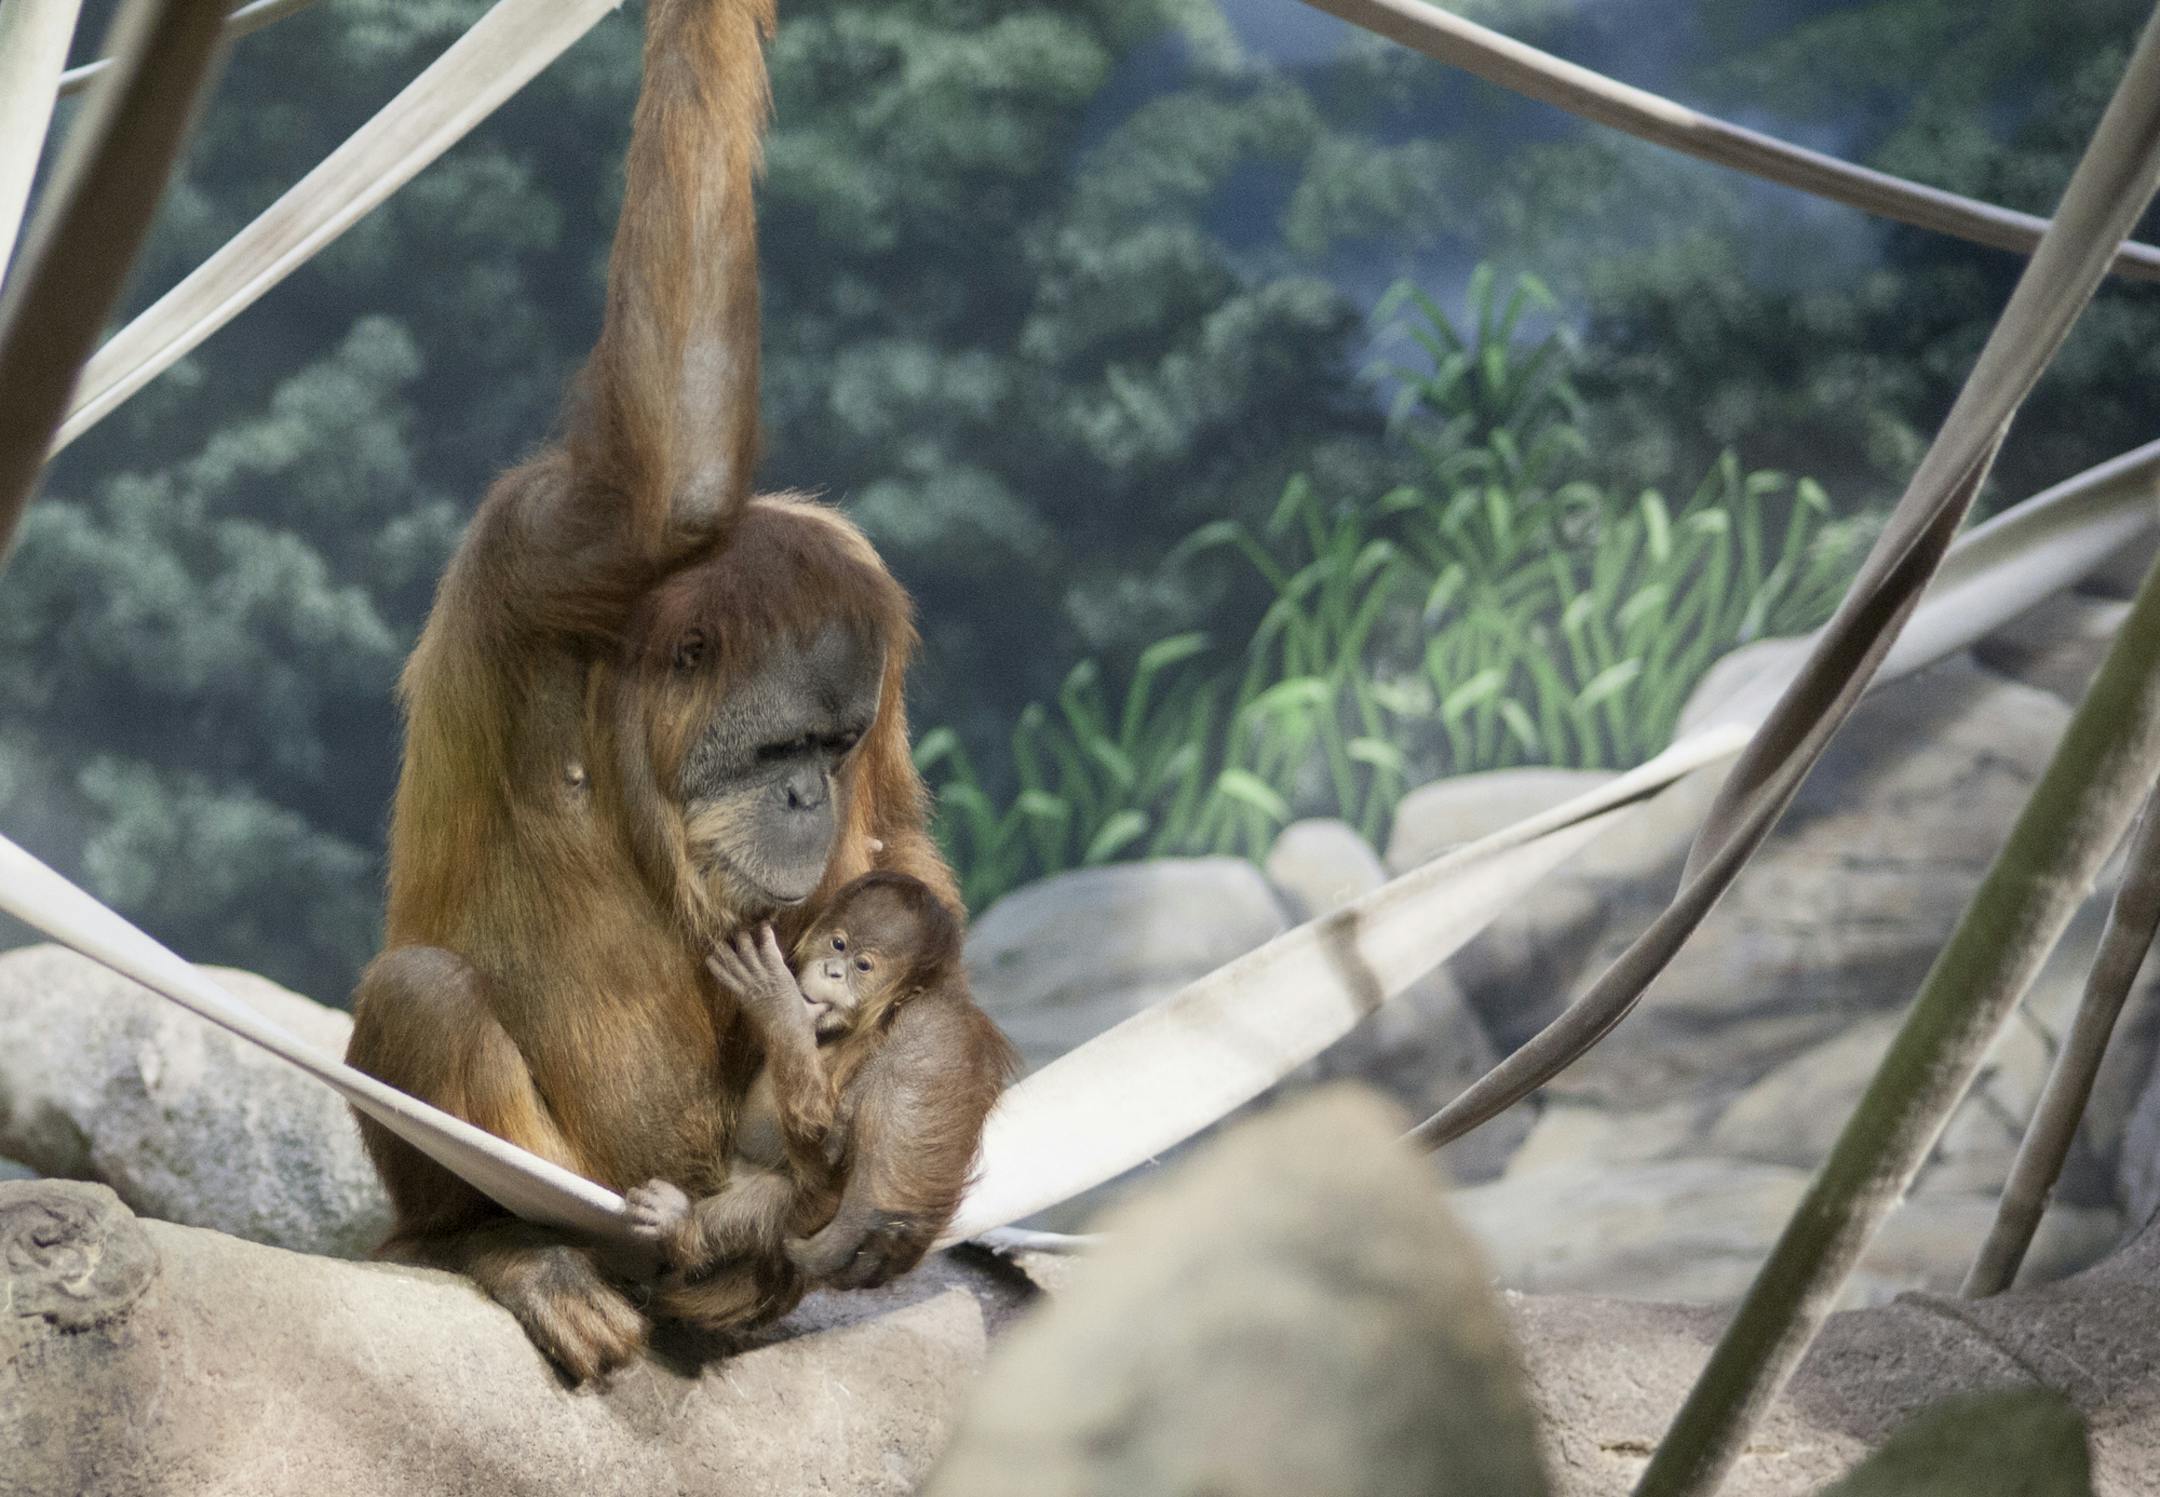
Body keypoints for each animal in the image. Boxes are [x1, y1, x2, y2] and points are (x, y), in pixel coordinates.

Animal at [622, 873, 1016, 1288]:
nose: (833, 971)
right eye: (838, 943)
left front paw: (777, 1001)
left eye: (863, 966)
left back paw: (676, 1218)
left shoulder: (895, 1046)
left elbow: (828, 1147)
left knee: (783, 1199)